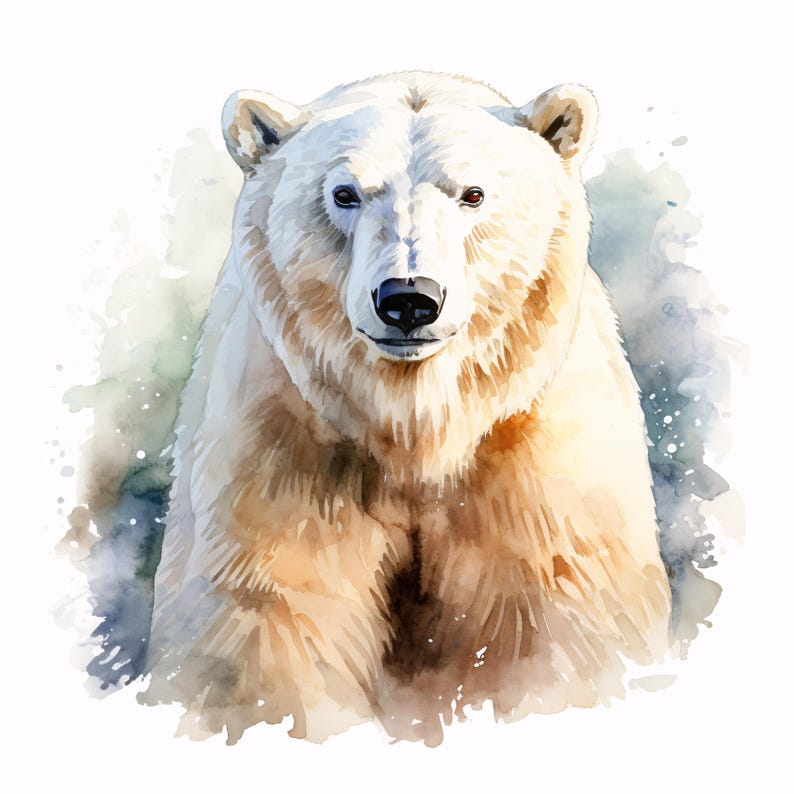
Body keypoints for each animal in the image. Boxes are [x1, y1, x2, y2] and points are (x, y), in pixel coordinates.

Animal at [143, 71, 672, 746]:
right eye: (344, 193)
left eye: (473, 193)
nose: (409, 299)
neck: (416, 422)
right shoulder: (281, 443)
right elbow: (272, 616)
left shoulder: (537, 451)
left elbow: (565, 614)